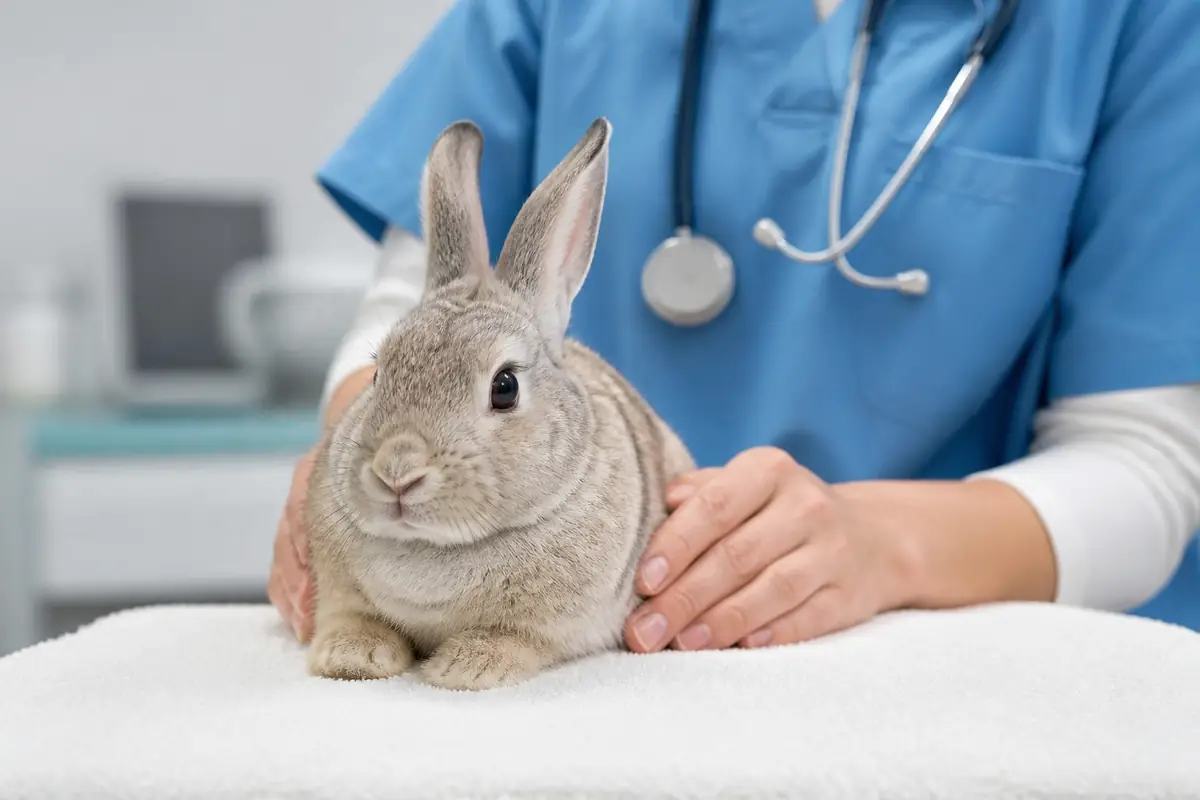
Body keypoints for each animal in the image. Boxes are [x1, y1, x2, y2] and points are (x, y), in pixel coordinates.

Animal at [303, 117, 696, 691]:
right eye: (378, 373)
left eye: (504, 386)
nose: (396, 473)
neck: (433, 545)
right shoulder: (339, 591)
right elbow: (354, 617)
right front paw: (352, 657)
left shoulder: (552, 625)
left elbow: (515, 638)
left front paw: (466, 667)